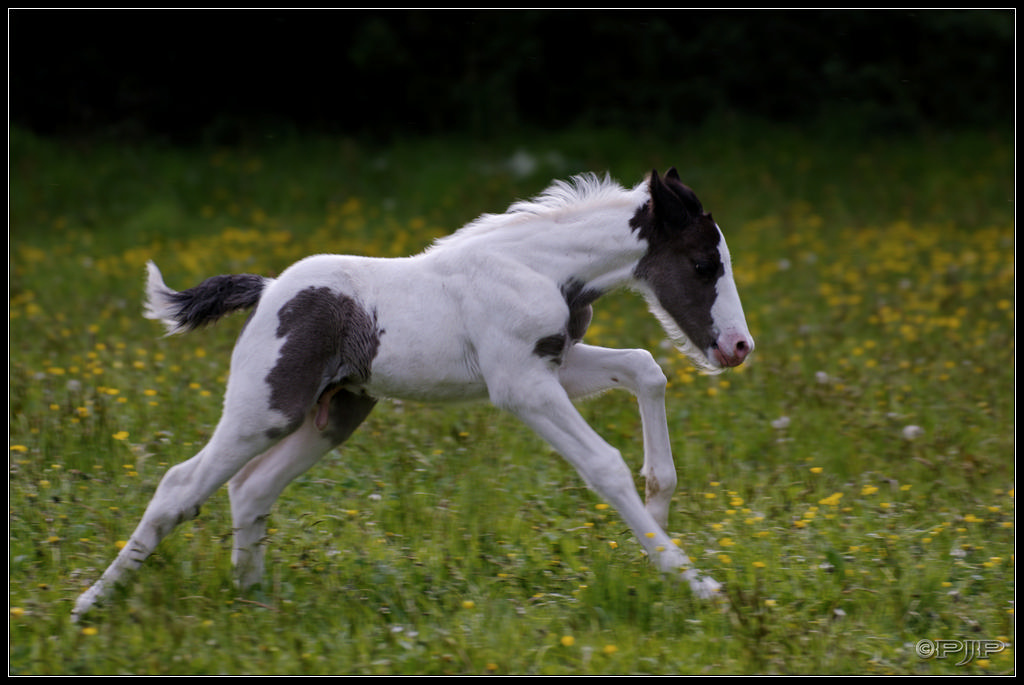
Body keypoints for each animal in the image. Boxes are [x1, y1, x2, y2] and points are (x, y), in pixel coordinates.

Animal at [72, 167, 753, 618]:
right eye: (703, 265)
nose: (738, 347)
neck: (536, 267)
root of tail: (266, 291)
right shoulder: (521, 386)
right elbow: (604, 464)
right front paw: (694, 582)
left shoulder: (554, 364)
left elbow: (645, 368)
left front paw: (658, 519)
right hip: (264, 409)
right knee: (181, 484)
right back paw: (88, 605)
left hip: (336, 413)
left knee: (252, 488)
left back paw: (257, 603)